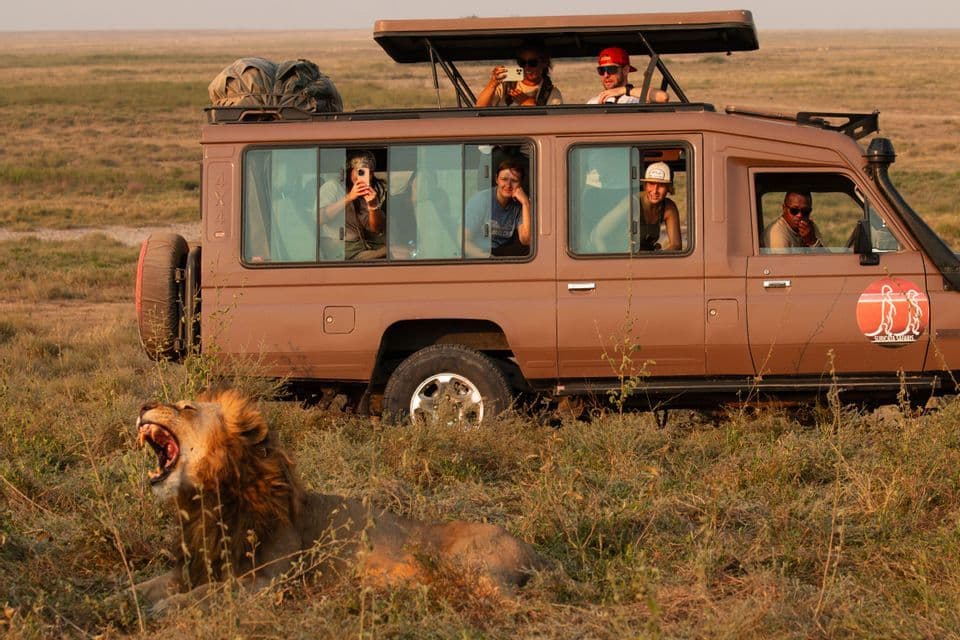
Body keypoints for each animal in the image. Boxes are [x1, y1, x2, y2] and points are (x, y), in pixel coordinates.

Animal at [132, 388, 544, 614]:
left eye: (187, 408)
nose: (142, 405)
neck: (207, 498)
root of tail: (533, 549)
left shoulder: (268, 581)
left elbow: (212, 592)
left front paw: (169, 608)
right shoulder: (192, 566)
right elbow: (144, 586)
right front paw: (123, 603)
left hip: (475, 569)